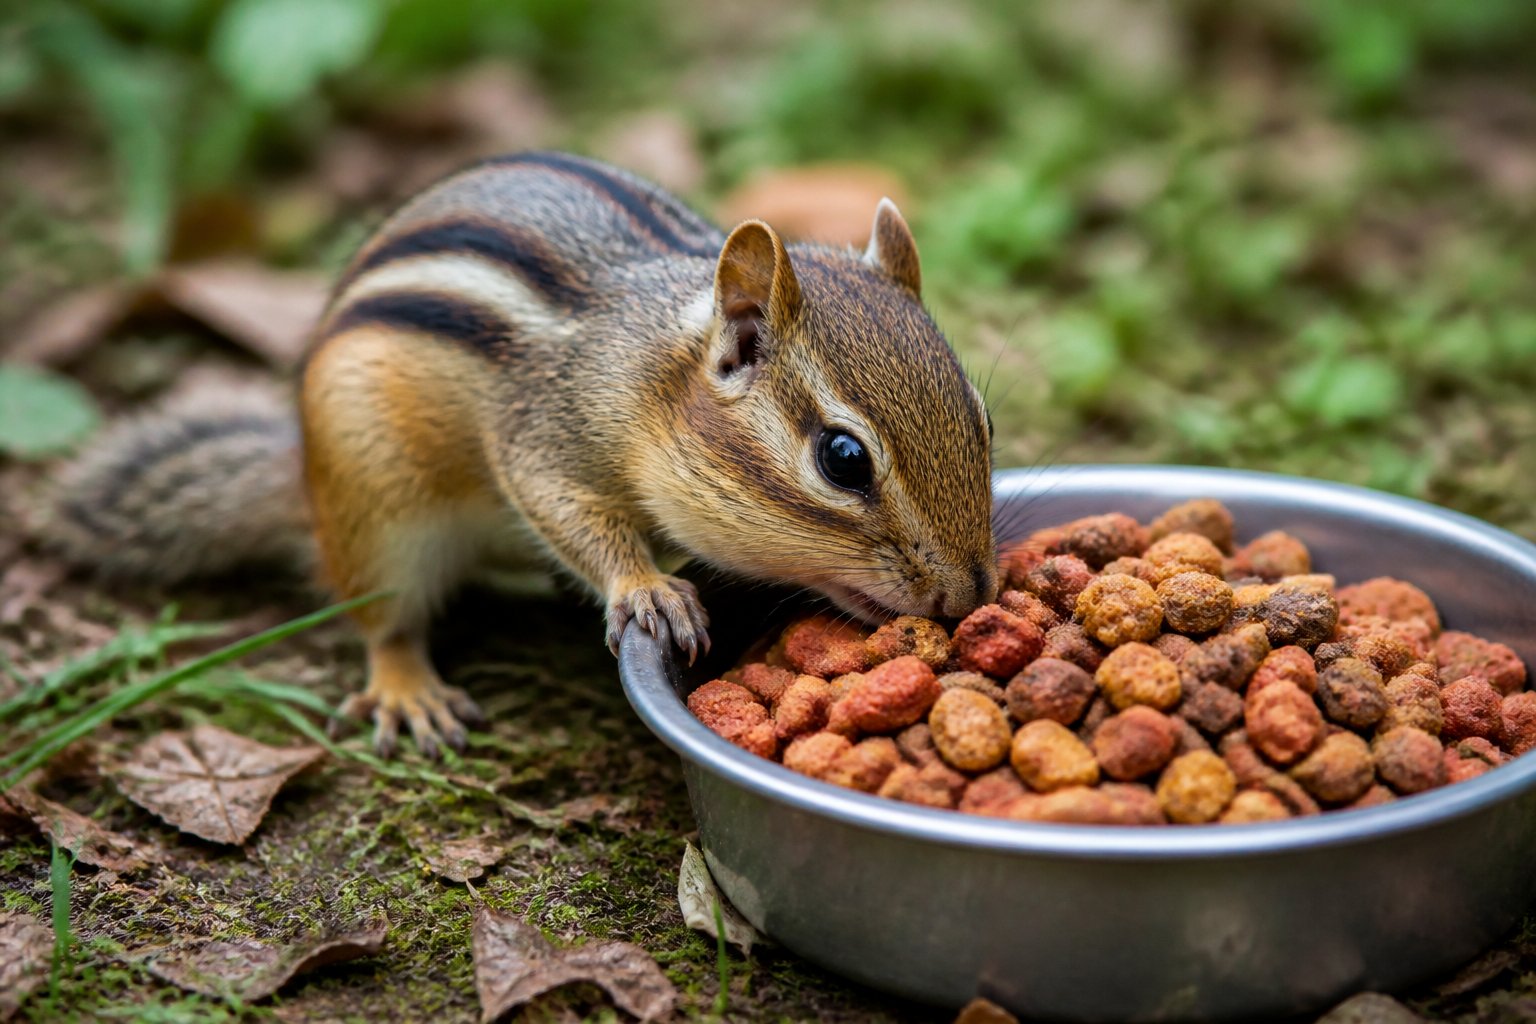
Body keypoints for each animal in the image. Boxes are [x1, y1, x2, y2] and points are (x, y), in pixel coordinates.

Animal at [48, 151, 998, 758]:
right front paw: (648, 588)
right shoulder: (542, 432)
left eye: (984, 420)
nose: (968, 598)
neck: (648, 364)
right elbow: (567, 509)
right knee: (383, 615)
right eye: (843, 459)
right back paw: (409, 688)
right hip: (374, 502)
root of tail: (302, 478)